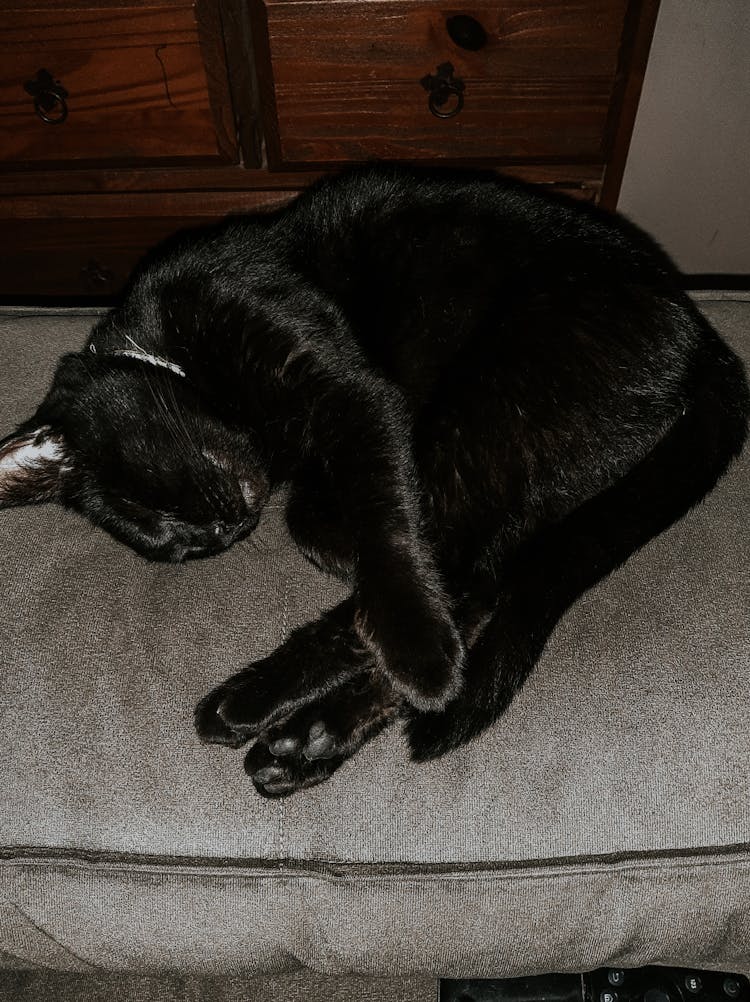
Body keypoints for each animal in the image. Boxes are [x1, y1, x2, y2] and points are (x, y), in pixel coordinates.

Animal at [1, 166, 748, 797]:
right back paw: (305, 742)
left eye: (163, 490)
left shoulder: (349, 392)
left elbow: (382, 528)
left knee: (470, 575)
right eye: (183, 548)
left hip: (490, 403)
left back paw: (283, 697)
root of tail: (706, 337)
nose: (221, 527)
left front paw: (410, 635)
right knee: (480, 579)